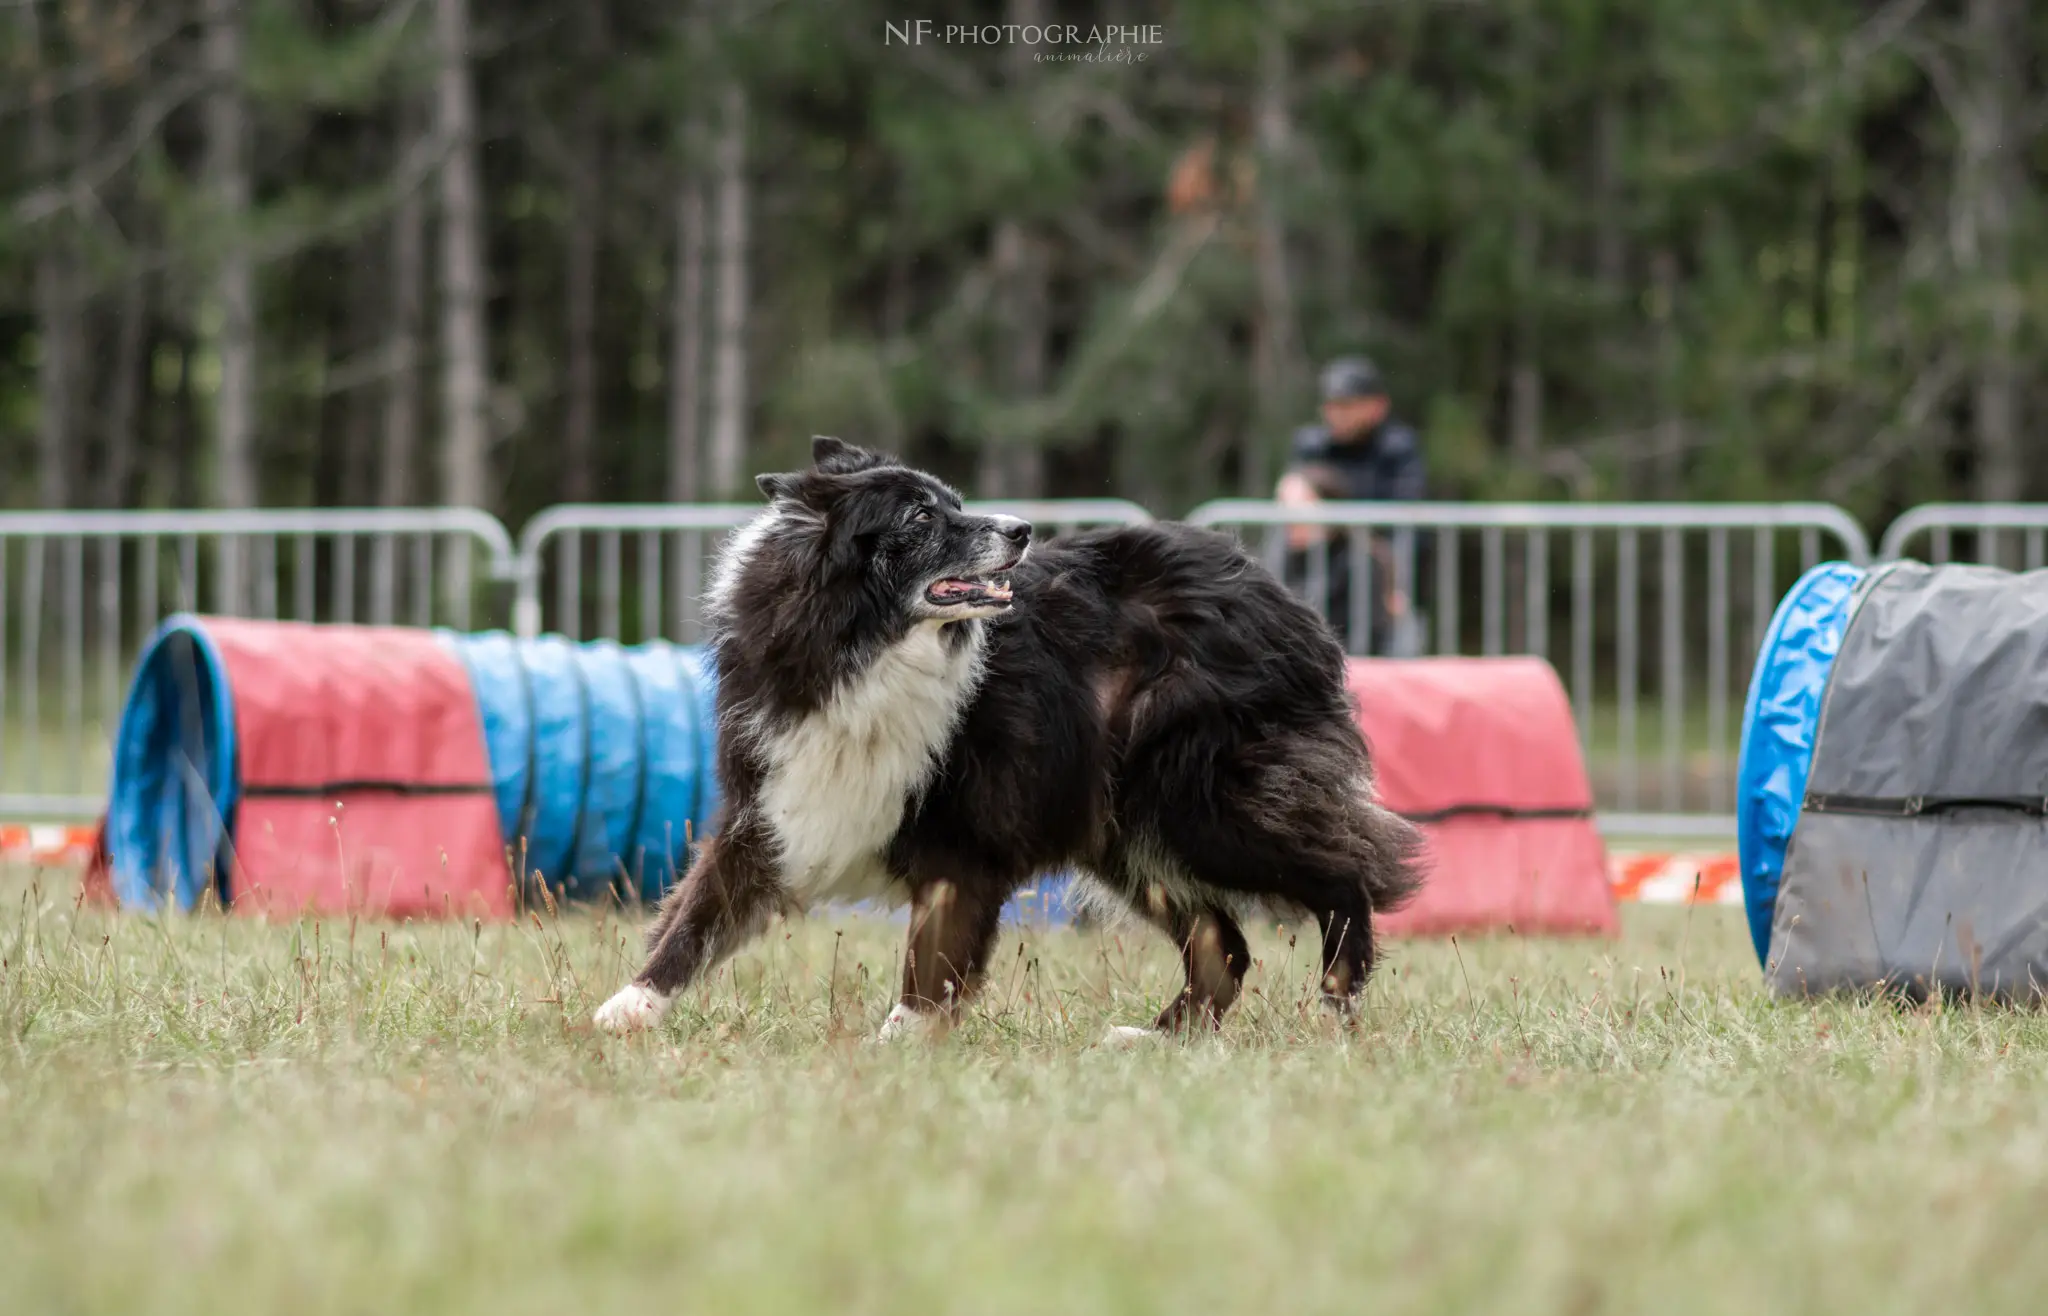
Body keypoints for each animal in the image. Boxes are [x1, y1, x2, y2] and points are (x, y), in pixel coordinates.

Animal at [598, 437, 1425, 1043]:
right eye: (919, 519)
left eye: (956, 506)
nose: (1022, 530)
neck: (862, 648)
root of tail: (1276, 591)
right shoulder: (775, 806)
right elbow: (696, 916)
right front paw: (626, 1010)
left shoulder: (965, 844)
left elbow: (930, 962)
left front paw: (899, 1044)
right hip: (1124, 830)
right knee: (1224, 944)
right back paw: (1158, 1040)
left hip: (1200, 806)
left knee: (1346, 874)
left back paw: (1335, 1006)